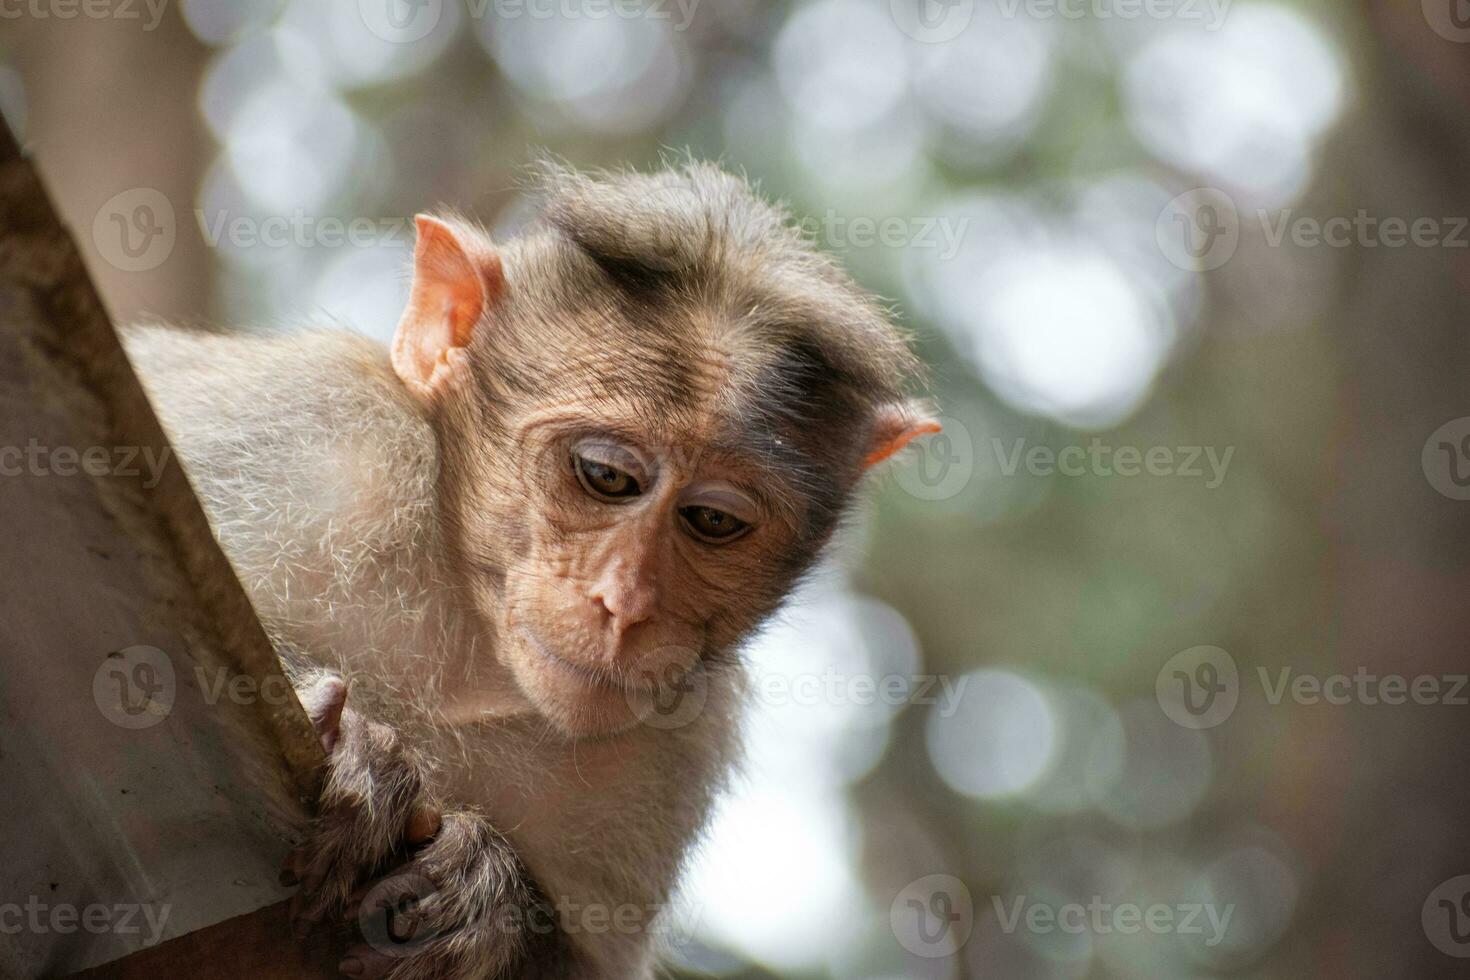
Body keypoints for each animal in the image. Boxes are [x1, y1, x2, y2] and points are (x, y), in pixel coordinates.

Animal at [120, 163, 934, 980]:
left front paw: (485, 898)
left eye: (713, 521)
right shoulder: (310, 435)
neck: (468, 633)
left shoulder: (682, 742)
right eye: (605, 475)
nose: (626, 605)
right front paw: (360, 750)